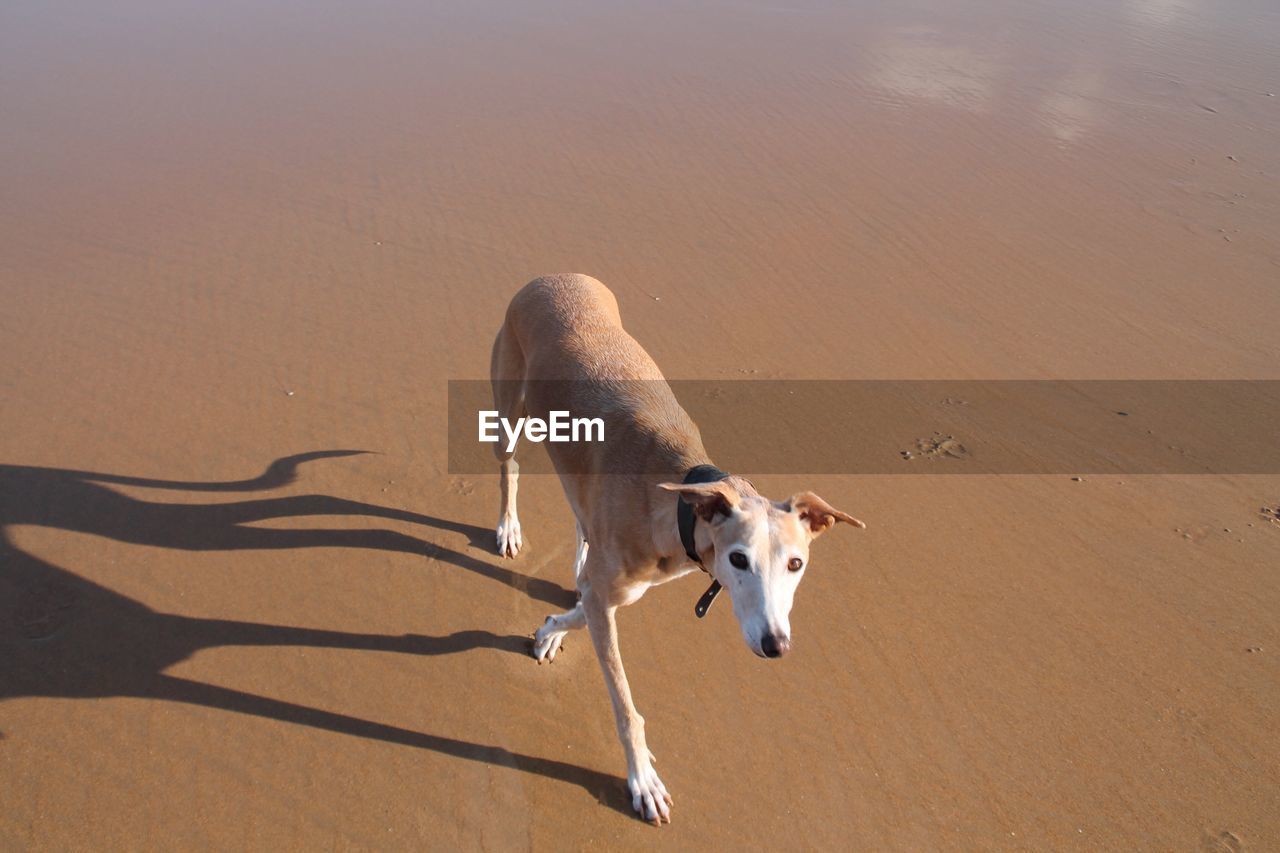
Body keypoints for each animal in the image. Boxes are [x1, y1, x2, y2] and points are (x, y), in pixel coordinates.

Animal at [483, 275, 865, 819]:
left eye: (796, 564)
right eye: (738, 559)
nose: (776, 646)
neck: (677, 497)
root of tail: (551, 277)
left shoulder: (624, 587)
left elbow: (582, 606)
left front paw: (550, 629)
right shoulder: (614, 589)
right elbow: (624, 702)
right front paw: (641, 777)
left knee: (579, 521)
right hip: (510, 412)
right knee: (509, 467)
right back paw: (509, 527)